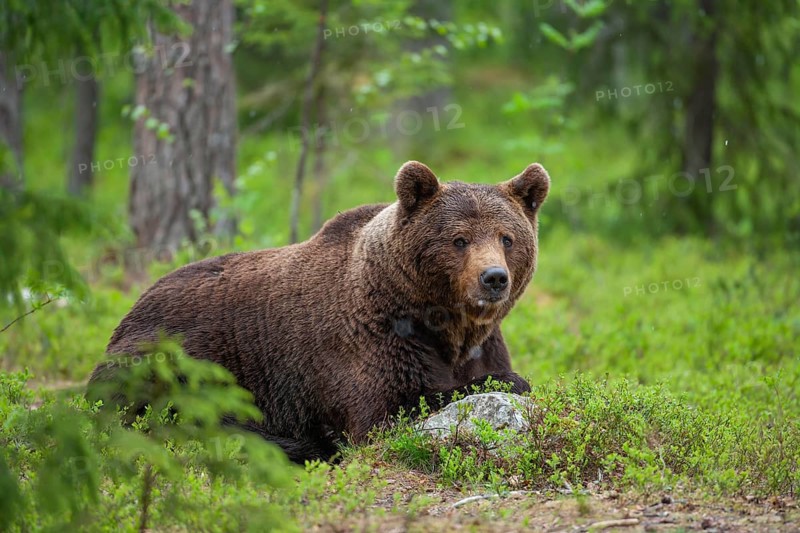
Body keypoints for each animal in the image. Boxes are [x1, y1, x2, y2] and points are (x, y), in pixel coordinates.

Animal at [88, 160, 551, 463]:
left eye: (506, 237)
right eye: (459, 239)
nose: (493, 278)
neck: (441, 322)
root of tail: (135, 303)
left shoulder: (482, 342)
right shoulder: (367, 342)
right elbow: (390, 410)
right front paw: (511, 380)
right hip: (165, 351)